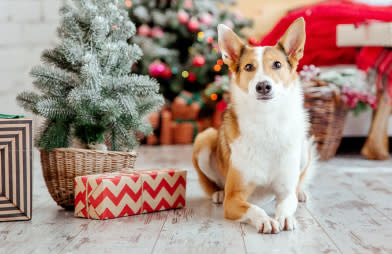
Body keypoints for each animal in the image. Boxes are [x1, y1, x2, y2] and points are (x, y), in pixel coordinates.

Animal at [193, 17, 318, 234]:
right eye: (249, 67)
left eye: (277, 64)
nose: (263, 86)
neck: (267, 122)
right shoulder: (233, 199)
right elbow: (254, 208)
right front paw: (265, 220)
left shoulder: (286, 191)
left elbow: (286, 203)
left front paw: (284, 217)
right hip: (204, 139)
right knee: (212, 184)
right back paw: (218, 193)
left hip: (304, 148)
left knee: (299, 182)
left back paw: (302, 192)